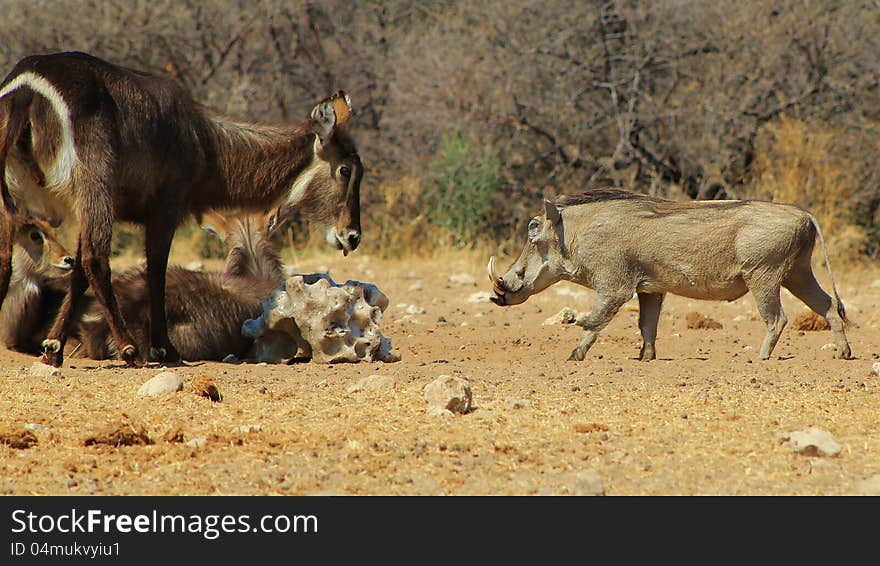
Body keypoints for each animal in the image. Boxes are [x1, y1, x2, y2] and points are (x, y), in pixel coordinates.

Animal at [0, 51, 362, 370]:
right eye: (346, 169)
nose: (352, 236)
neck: (203, 138)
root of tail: (28, 90)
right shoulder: (165, 207)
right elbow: (155, 271)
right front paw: (165, 349)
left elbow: (76, 276)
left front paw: (53, 347)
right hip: (93, 186)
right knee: (96, 259)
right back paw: (130, 349)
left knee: (11, 259)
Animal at [488, 189, 852, 362]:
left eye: (534, 234)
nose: (498, 294)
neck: (576, 235)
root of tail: (804, 214)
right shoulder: (649, 290)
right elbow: (647, 325)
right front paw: (644, 358)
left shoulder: (615, 286)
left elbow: (596, 321)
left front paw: (573, 350)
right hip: (797, 274)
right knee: (827, 305)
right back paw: (843, 352)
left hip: (764, 276)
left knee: (777, 318)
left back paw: (761, 357)